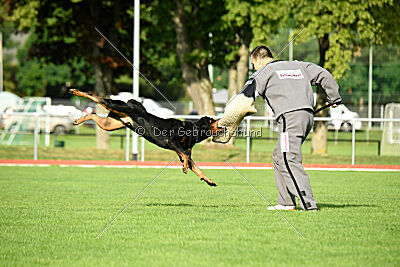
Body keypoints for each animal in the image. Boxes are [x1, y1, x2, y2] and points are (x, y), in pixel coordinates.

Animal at [70, 89, 223, 186]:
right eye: (212, 120)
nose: (220, 118)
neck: (193, 130)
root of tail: (132, 103)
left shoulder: (183, 151)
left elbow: (196, 167)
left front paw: (208, 180)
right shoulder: (171, 141)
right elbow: (185, 156)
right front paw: (185, 167)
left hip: (110, 124)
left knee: (94, 114)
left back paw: (79, 119)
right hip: (114, 105)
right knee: (98, 98)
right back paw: (76, 91)